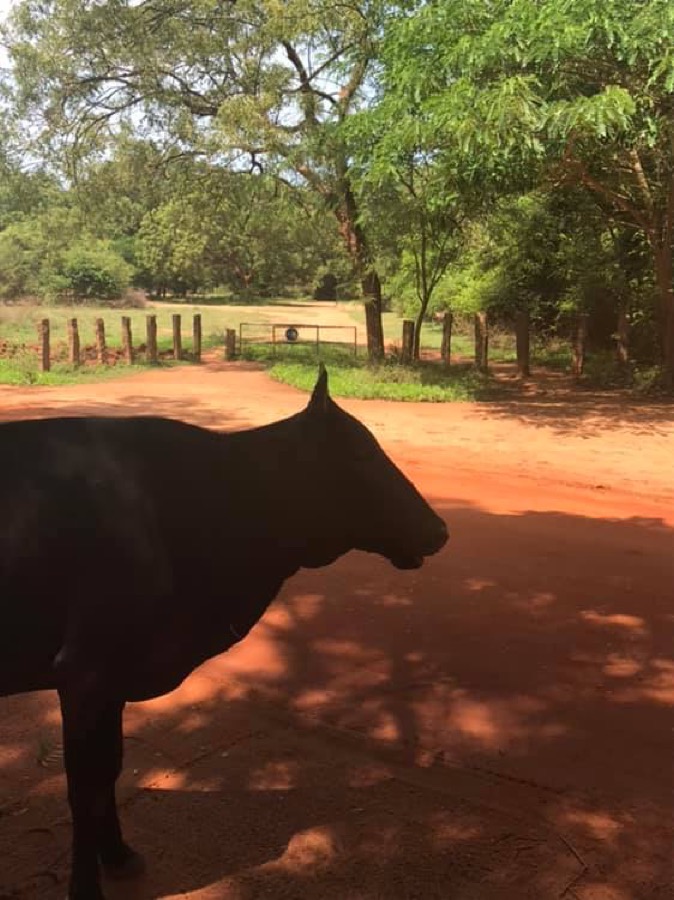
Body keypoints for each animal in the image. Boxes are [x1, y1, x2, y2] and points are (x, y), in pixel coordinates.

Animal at [0, 366, 448, 900]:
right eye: (360, 455)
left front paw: (120, 855)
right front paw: (87, 886)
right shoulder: (85, 671)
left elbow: (109, 769)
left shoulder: (109, 680)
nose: (439, 530)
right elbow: (84, 787)